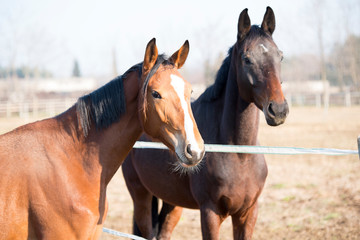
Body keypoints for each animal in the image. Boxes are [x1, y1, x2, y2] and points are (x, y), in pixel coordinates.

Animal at [124, 7, 290, 238]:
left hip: (172, 201)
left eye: (280, 56)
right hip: (141, 197)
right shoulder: (210, 213)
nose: (279, 110)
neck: (239, 155)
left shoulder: (248, 214)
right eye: (247, 58)